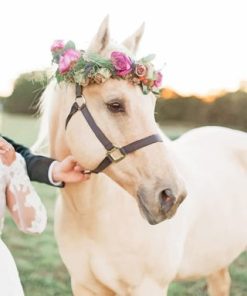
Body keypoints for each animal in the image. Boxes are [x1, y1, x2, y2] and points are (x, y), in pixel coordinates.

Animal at [36, 16, 247, 296]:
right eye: (115, 105)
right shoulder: (83, 285)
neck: (92, 215)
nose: (171, 196)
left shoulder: (149, 286)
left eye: (152, 106)